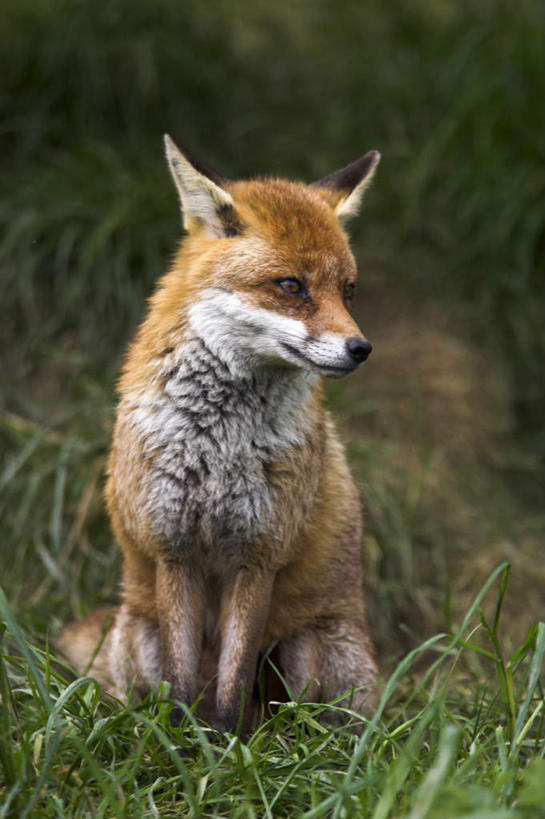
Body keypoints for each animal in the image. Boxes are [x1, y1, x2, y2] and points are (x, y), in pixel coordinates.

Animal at [59, 136, 380, 736]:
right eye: (291, 286)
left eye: (348, 291)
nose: (361, 349)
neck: (218, 444)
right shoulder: (173, 550)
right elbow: (183, 684)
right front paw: (183, 746)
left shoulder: (258, 555)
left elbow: (232, 691)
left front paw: (228, 749)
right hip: (138, 635)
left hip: (305, 648)